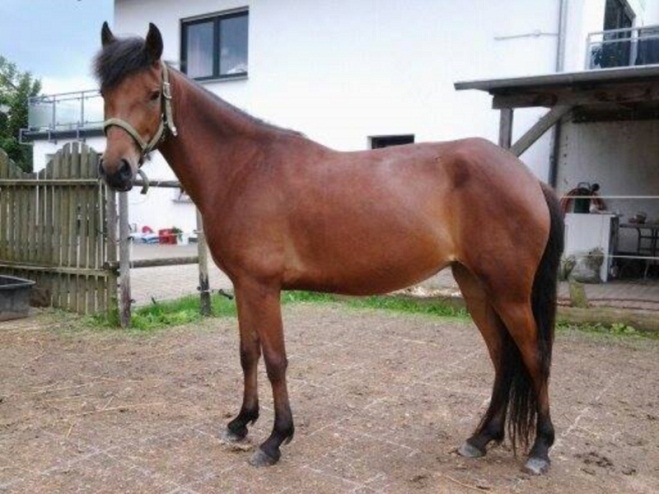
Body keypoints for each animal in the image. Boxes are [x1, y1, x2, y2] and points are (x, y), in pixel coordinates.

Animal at [94, 23, 564, 475]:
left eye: (152, 94)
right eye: (105, 94)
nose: (116, 170)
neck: (244, 168)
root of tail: (527, 178)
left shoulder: (264, 287)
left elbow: (276, 360)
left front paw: (275, 440)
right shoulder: (245, 286)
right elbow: (248, 354)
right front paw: (241, 423)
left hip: (508, 291)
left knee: (535, 357)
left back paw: (540, 449)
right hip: (476, 285)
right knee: (502, 356)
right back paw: (481, 439)